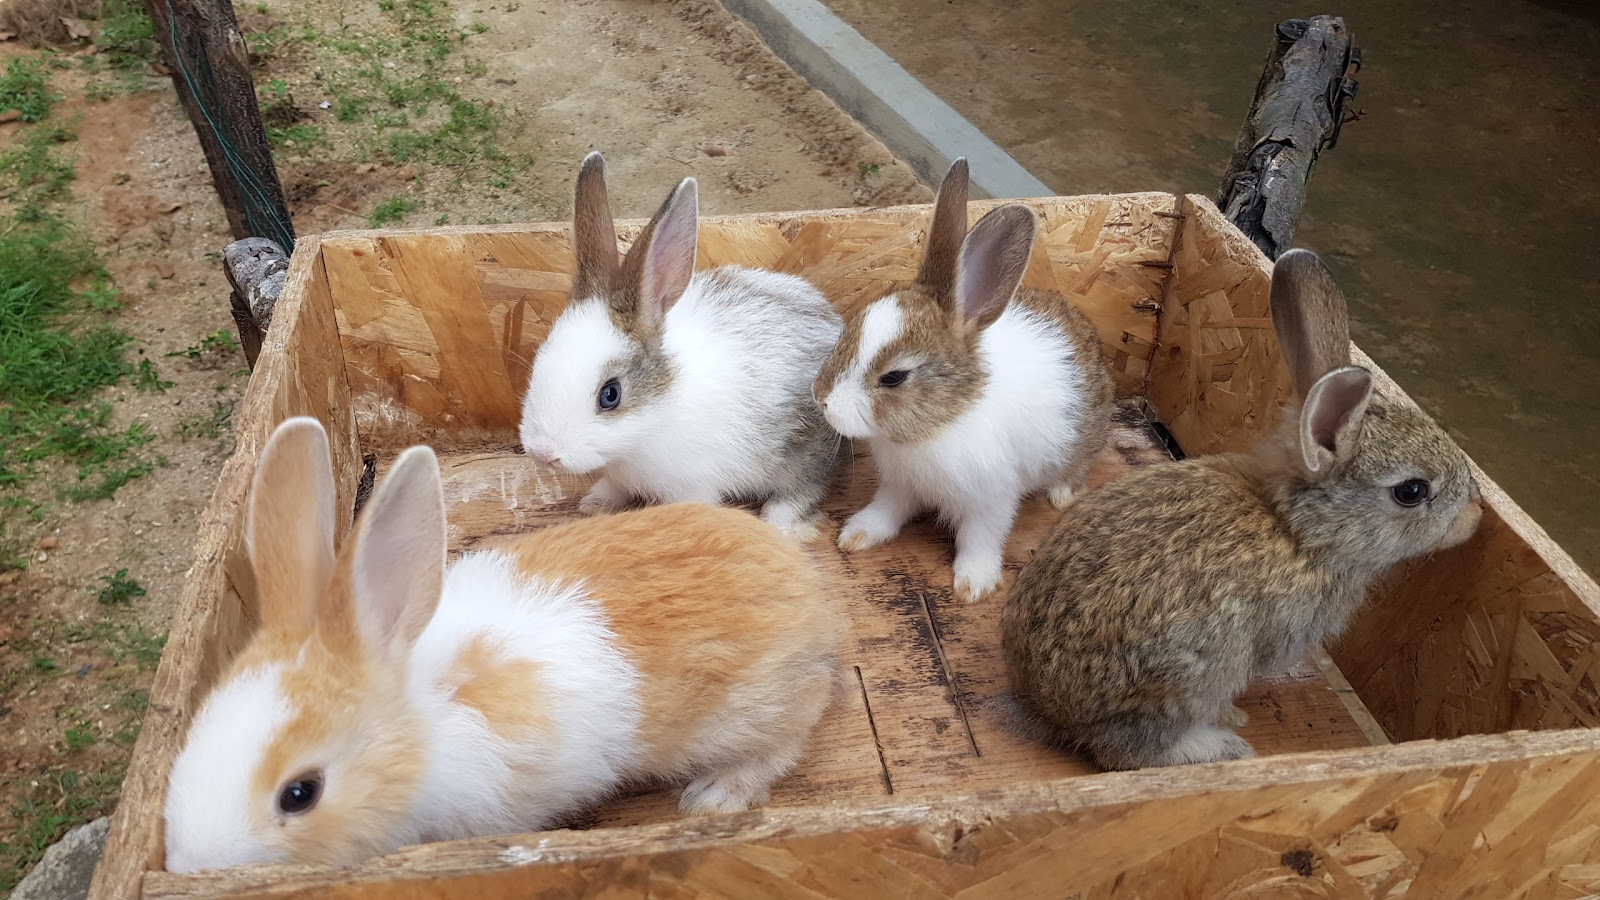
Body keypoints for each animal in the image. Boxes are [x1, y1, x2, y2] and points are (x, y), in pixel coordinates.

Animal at [164, 416, 846, 873]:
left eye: (300, 793)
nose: (192, 866)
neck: (419, 727)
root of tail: (811, 597)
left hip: (749, 714)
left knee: (786, 740)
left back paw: (713, 797)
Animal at [519, 153, 845, 541]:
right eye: (539, 362)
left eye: (610, 395)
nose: (543, 453)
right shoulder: (618, 474)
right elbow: (614, 487)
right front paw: (594, 504)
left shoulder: (692, 484)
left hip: (802, 453)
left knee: (806, 487)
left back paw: (777, 521)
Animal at [813, 158, 1115, 603]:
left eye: (894, 377)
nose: (821, 399)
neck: (940, 423)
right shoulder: (898, 485)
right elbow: (887, 511)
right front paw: (857, 535)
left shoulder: (990, 499)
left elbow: (981, 538)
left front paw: (973, 585)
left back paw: (1062, 494)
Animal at [999, 249, 1484, 771]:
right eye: (1412, 491)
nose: (1476, 514)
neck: (1299, 532)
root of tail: (1052, 712)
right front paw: (1234, 717)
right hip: (1193, 676)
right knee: (1129, 751)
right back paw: (1219, 744)